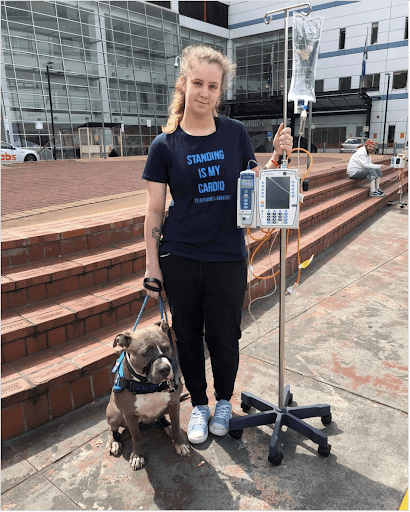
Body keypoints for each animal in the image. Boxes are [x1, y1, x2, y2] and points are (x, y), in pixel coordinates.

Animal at [105, 322, 190, 470]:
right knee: (112, 429)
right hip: (116, 414)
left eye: (166, 348)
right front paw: (137, 456)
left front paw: (180, 443)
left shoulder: (174, 403)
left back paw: (167, 425)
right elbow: (136, 436)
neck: (148, 385)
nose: (165, 369)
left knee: (161, 417)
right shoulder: (128, 414)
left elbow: (176, 425)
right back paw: (114, 442)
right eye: (145, 353)